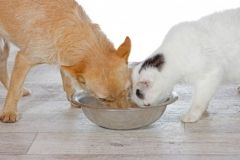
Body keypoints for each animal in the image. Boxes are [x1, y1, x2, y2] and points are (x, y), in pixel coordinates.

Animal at [0, 0, 131, 122]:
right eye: (103, 99)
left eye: (126, 90)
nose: (123, 114)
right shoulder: (24, 59)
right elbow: (14, 89)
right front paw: (9, 111)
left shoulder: (65, 61)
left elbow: (68, 81)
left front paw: (72, 99)